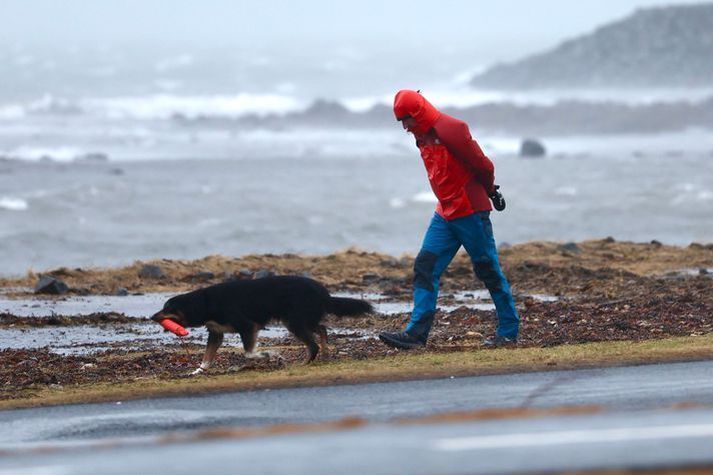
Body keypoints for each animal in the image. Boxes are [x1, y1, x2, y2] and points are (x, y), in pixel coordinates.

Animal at [150, 276, 372, 376]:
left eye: (168, 308)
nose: (152, 316)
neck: (205, 303)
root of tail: (323, 291)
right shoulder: (216, 333)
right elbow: (207, 356)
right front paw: (197, 371)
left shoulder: (248, 327)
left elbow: (249, 353)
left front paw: (269, 355)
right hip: (300, 319)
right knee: (322, 329)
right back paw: (325, 353)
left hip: (295, 321)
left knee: (313, 343)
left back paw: (305, 362)